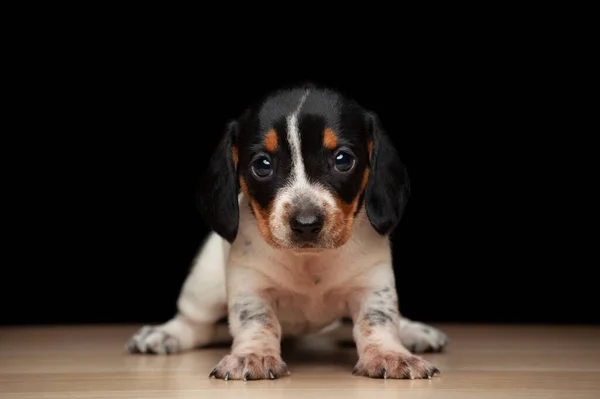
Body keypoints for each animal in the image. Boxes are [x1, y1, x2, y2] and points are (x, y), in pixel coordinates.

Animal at [126, 83, 448, 382]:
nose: (306, 223)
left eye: (343, 160)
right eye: (262, 165)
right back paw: (165, 335)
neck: (309, 262)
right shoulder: (251, 285)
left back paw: (413, 330)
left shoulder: (372, 283)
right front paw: (253, 355)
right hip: (205, 287)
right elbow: (258, 322)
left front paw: (389, 353)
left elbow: (376, 321)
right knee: (197, 325)